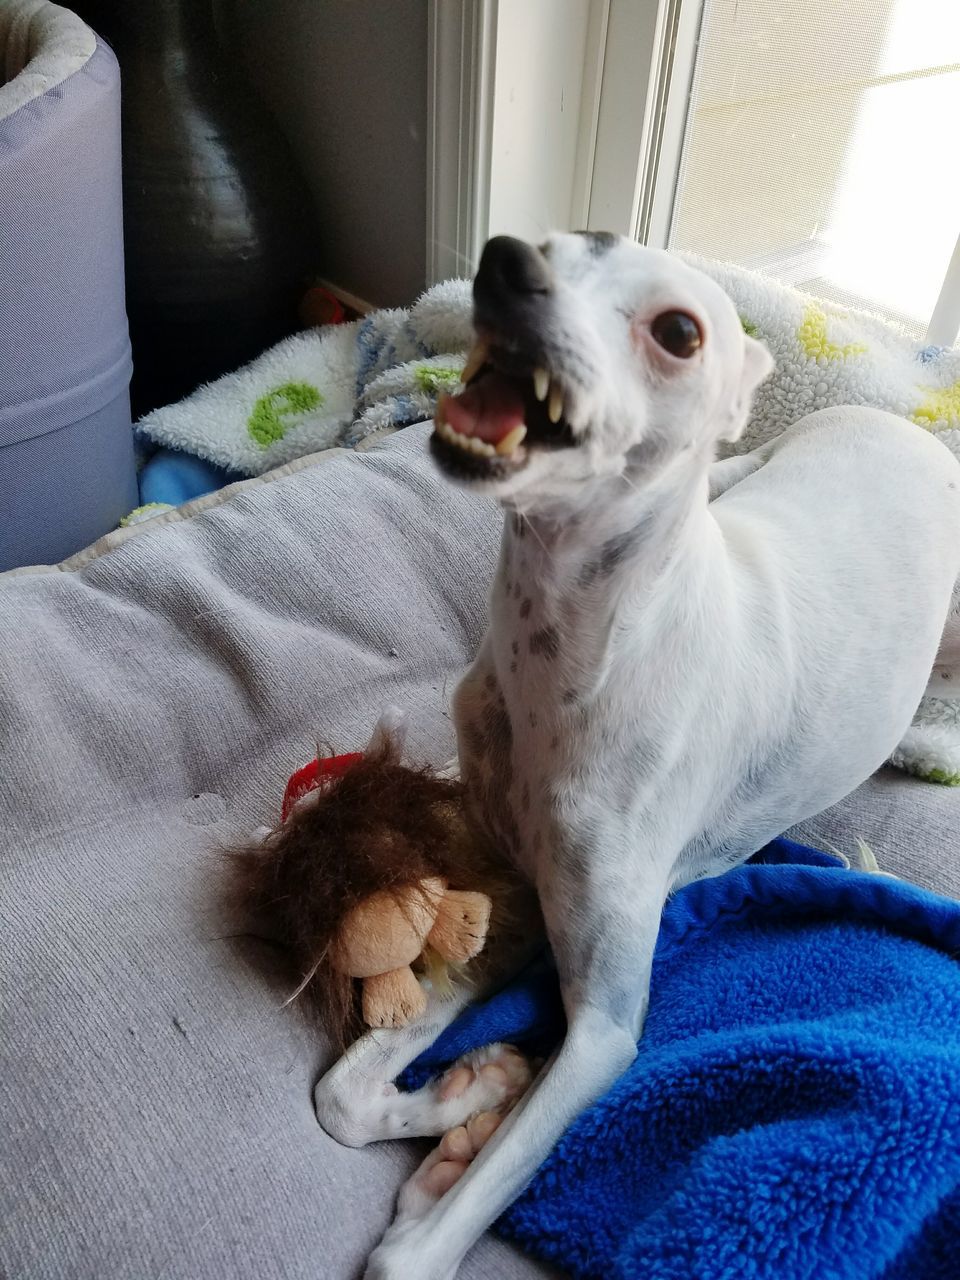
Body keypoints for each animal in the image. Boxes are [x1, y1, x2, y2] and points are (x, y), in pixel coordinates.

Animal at [316, 232, 960, 1280]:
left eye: (679, 333)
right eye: (551, 244)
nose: (502, 262)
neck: (564, 661)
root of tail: (910, 433)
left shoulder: (608, 1031)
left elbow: (437, 1232)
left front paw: (445, 1188)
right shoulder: (513, 902)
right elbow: (341, 1097)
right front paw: (466, 1101)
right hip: (748, 475)